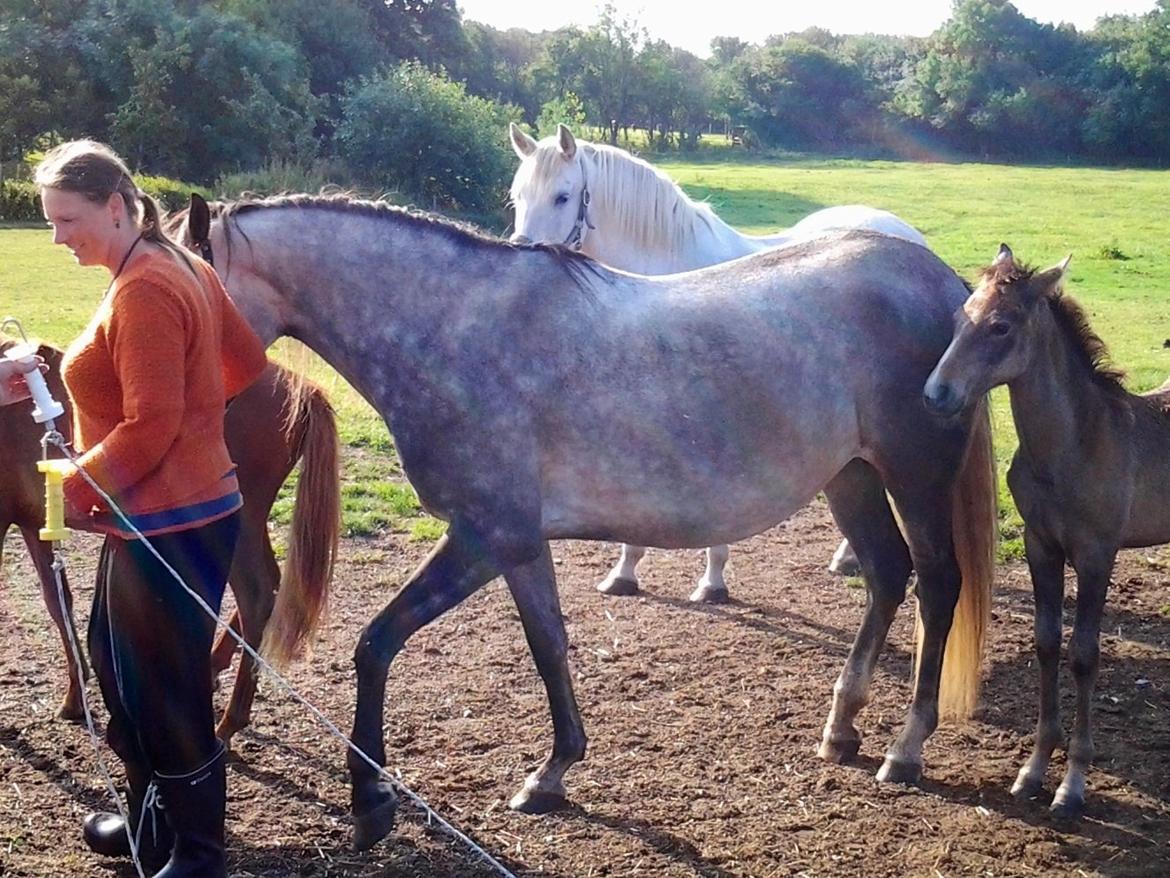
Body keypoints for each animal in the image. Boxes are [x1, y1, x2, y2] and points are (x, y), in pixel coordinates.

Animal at [1, 339, 339, 744]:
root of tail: (304, 390)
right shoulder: (33, 526)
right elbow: (58, 603)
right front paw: (75, 698)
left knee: (257, 597)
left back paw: (229, 722)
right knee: (271, 587)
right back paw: (212, 669)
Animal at [926, 244, 1165, 824]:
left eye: (1001, 326)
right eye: (958, 320)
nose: (935, 394)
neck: (1072, 445)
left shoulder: (1098, 554)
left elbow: (1083, 654)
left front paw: (1072, 786)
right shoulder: (1042, 548)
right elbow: (1047, 643)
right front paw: (1033, 772)